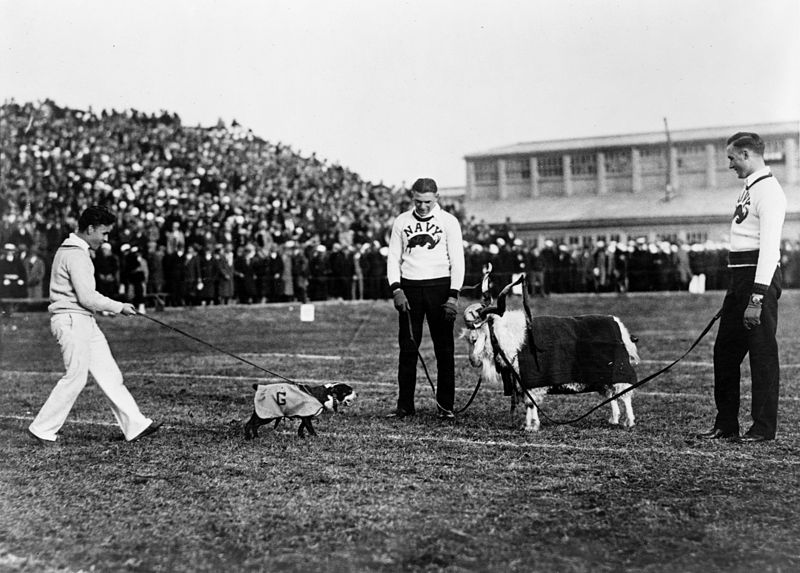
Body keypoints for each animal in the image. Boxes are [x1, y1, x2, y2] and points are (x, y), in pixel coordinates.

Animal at [462, 270, 636, 432]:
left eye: (474, 338)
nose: (473, 361)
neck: (513, 337)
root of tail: (618, 323)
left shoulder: (532, 382)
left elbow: (530, 403)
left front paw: (532, 426)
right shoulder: (522, 381)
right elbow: (528, 403)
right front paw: (527, 425)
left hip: (619, 373)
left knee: (625, 396)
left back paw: (629, 422)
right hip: (606, 377)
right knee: (612, 395)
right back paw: (614, 419)